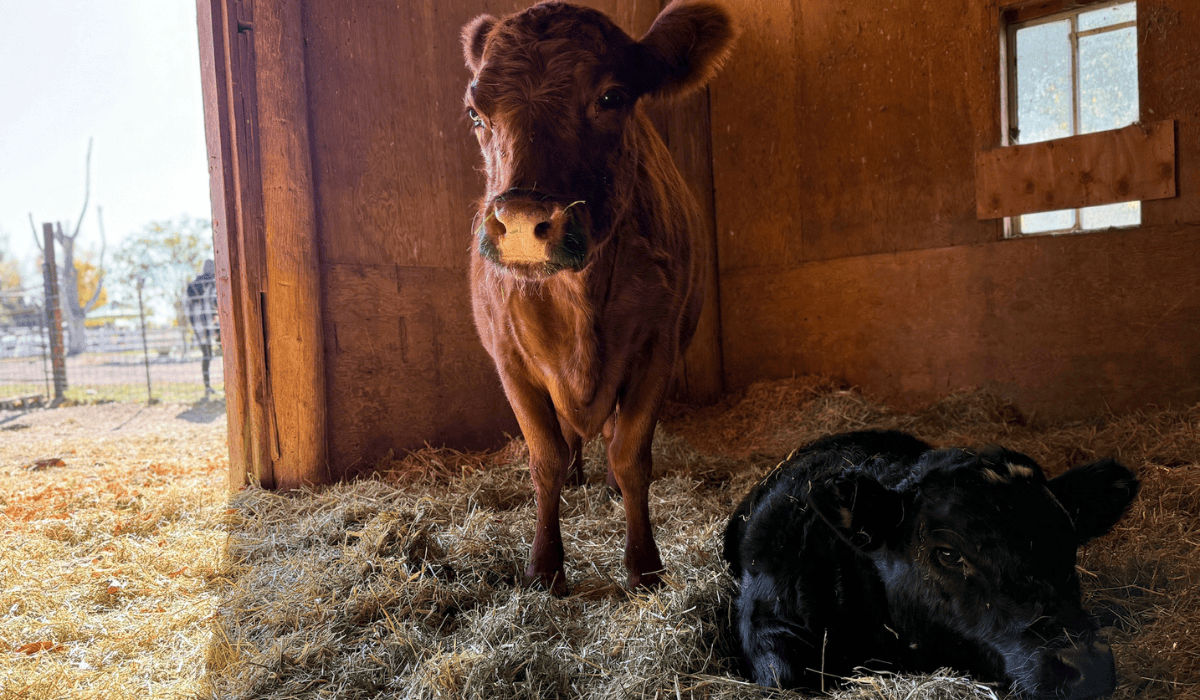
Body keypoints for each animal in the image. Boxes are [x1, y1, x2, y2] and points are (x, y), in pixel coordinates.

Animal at [459, 0, 735, 594]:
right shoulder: (510, 360)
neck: (576, 296)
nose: (521, 223)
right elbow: (544, 459)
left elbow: (631, 455)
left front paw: (644, 566)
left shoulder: (657, 349)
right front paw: (544, 568)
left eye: (610, 97)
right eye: (475, 113)